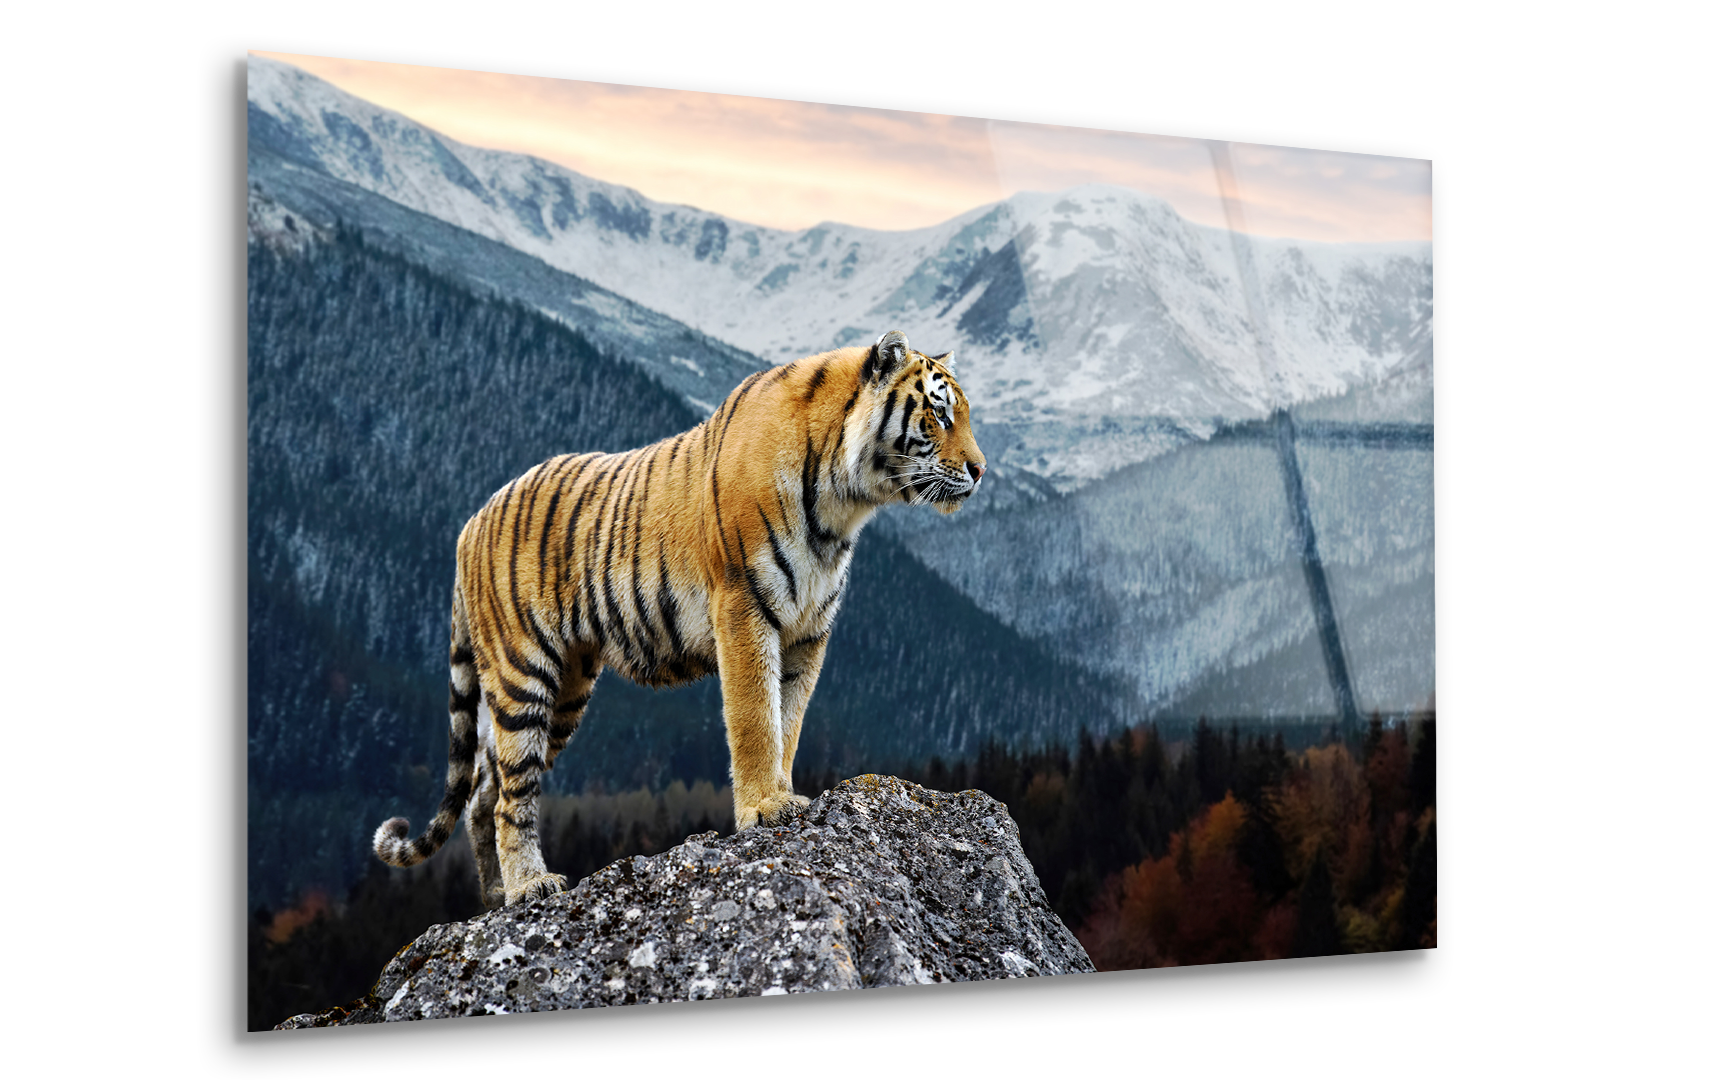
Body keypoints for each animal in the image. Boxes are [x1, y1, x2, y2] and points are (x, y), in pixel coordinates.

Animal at [373, 330, 986, 907]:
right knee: (510, 795)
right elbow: (755, 719)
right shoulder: (744, 606)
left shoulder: (808, 632)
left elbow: (787, 719)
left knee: (485, 789)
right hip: (523, 673)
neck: (844, 502)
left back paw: (497, 899)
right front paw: (765, 807)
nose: (981, 470)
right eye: (938, 414)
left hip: (567, 690)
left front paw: (784, 794)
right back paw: (529, 887)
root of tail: (470, 522)